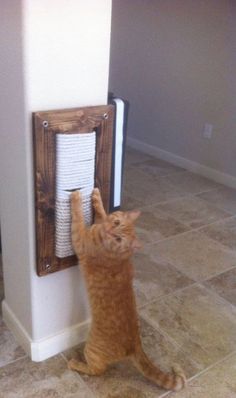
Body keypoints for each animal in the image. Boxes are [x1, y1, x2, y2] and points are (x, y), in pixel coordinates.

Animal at [68, 189, 186, 392]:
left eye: (118, 239)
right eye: (116, 223)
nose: (109, 231)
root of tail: (136, 345)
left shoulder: (80, 240)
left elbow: (78, 217)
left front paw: (76, 197)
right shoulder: (99, 224)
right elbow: (102, 214)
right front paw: (97, 198)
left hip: (92, 347)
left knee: (97, 370)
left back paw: (75, 363)